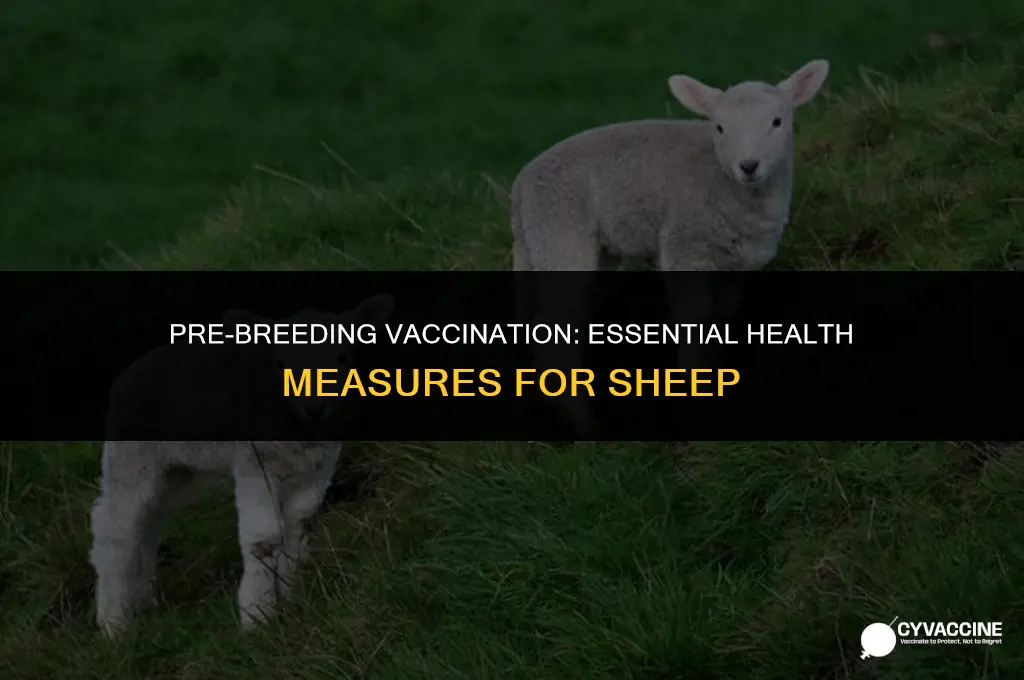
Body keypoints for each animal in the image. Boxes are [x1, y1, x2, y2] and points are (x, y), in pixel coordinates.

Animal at [89, 293, 393, 638]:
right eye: (282, 365)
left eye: (341, 357)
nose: (315, 408)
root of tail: (123, 378)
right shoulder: (254, 462)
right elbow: (265, 538)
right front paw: (257, 617)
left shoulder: (318, 467)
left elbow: (300, 526)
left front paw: (290, 598)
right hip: (132, 455)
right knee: (115, 527)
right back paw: (113, 623)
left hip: (177, 471)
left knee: (149, 521)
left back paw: (143, 600)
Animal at [509, 59, 829, 437]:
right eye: (720, 128)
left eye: (777, 122)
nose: (749, 166)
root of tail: (519, 190)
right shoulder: (685, 247)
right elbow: (696, 318)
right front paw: (693, 396)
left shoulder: (735, 264)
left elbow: (721, 318)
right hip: (559, 233)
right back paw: (585, 425)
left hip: (582, 251)